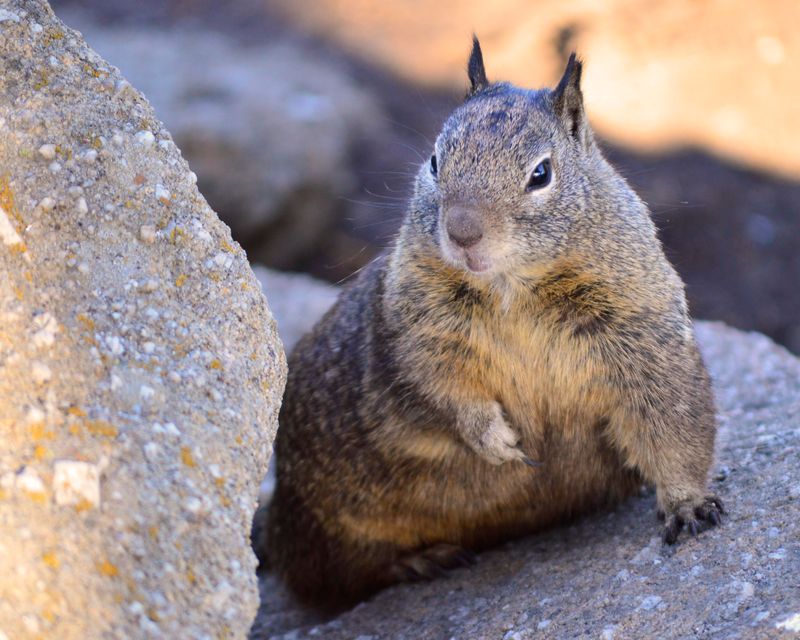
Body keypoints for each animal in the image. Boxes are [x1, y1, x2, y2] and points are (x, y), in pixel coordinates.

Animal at [253, 37, 724, 610]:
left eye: (541, 174)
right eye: (436, 160)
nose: (462, 232)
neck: (512, 289)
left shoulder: (643, 329)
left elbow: (674, 421)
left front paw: (688, 504)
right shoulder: (419, 331)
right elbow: (442, 388)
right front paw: (498, 443)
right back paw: (421, 559)